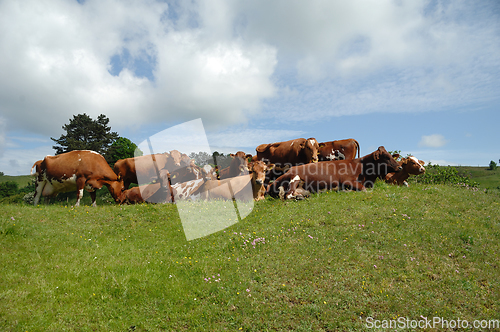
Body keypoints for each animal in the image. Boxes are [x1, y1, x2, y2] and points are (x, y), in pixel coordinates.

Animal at [270, 146, 402, 200]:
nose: (400, 167)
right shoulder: (347, 181)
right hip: (295, 178)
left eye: (391, 155)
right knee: (287, 195)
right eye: (386, 157)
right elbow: (364, 189)